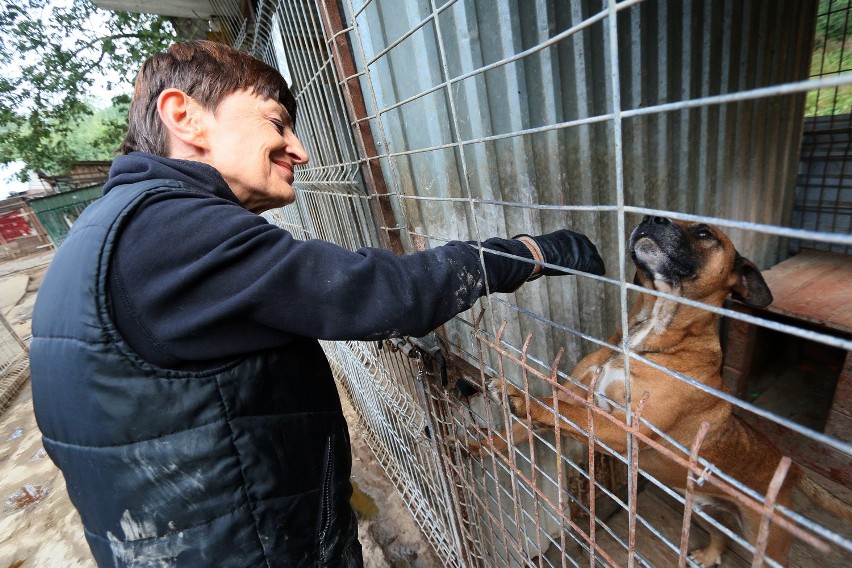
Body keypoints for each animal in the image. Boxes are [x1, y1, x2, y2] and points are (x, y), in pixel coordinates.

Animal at [472, 215, 852, 564]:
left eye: (705, 233)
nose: (651, 218)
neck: (651, 329)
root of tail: (792, 470)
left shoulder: (624, 428)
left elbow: (557, 408)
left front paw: (517, 395)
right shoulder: (575, 393)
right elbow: (529, 423)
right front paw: (476, 445)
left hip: (767, 543)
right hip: (701, 508)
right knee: (719, 534)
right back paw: (709, 555)